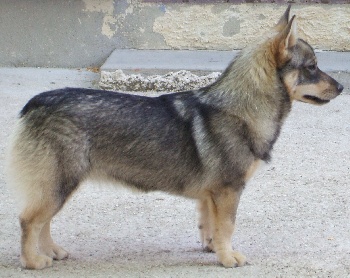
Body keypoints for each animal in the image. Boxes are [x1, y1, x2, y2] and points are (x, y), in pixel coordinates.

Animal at [5, 5, 344, 270]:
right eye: (312, 67)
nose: (341, 87)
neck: (240, 107)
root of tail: (37, 102)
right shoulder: (229, 190)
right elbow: (228, 226)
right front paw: (228, 258)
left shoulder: (211, 196)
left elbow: (211, 226)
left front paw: (213, 249)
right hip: (59, 183)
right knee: (29, 221)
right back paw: (33, 261)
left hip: (60, 185)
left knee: (43, 221)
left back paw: (51, 251)